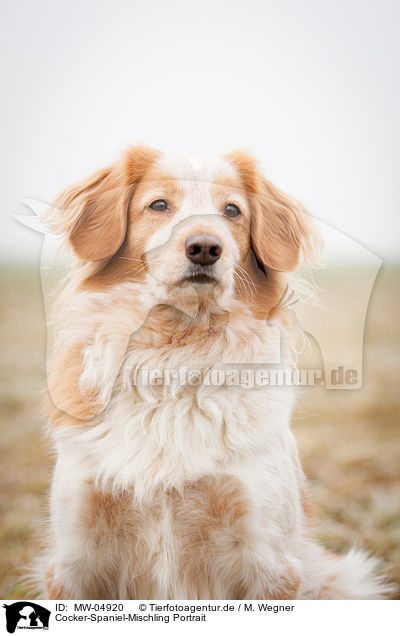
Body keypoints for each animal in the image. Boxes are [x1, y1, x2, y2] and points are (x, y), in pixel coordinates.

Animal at [39, 147, 390, 600]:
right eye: (158, 205)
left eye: (232, 211)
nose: (205, 247)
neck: (176, 354)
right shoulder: (75, 558)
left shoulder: (269, 563)